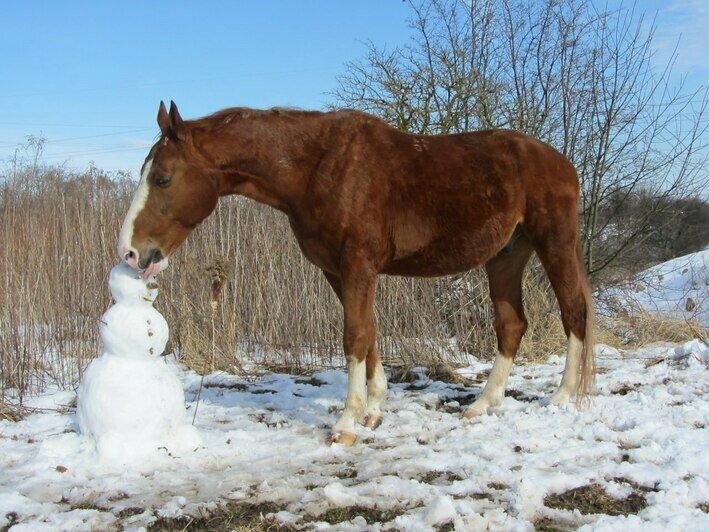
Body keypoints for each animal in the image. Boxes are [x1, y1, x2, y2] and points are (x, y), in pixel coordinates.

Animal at [119, 100, 596, 444]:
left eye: (162, 178)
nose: (131, 252)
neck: (317, 167)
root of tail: (561, 162)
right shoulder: (339, 272)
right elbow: (369, 335)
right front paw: (373, 410)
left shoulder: (358, 266)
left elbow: (354, 338)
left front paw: (346, 424)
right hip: (505, 256)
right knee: (512, 324)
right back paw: (483, 403)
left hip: (553, 243)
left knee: (573, 313)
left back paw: (562, 397)